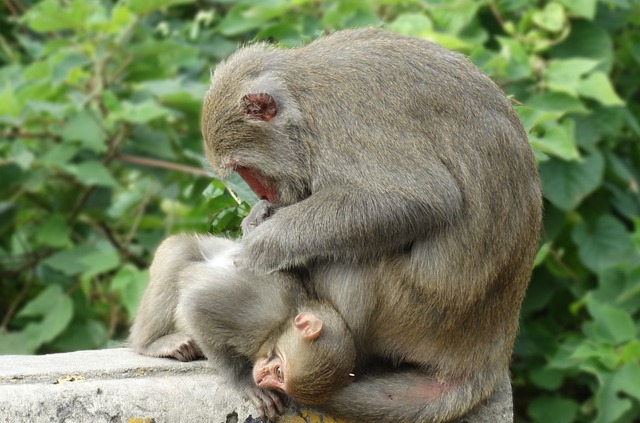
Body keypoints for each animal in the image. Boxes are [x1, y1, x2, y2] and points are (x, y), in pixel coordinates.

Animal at [126, 222, 356, 420]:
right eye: (279, 371)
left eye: (280, 382)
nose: (261, 379)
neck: (281, 325)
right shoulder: (257, 312)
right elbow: (196, 306)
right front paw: (244, 380)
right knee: (180, 254)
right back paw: (150, 343)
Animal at [200, 28, 540, 422]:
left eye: (244, 168)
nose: (262, 193)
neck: (302, 96)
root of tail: (492, 346)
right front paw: (260, 215)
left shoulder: (344, 123)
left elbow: (420, 197)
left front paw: (260, 246)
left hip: (411, 312)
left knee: (354, 261)